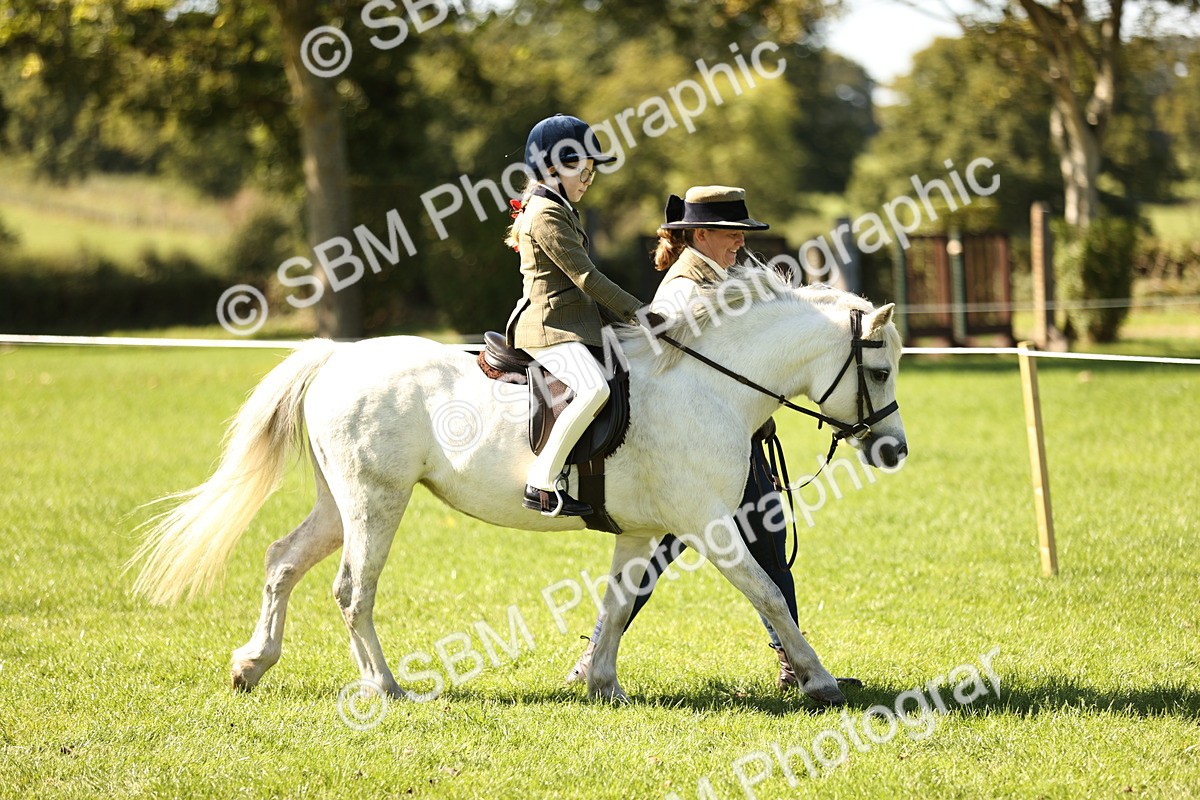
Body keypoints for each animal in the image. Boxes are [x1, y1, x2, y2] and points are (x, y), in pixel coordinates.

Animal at [129, 267, 907, 708]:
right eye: (879, 370)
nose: (894, 450)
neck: (707, 383)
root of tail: (336, 360)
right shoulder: (709, 524)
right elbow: (770, 595)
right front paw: (819, 680)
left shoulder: (643, 532)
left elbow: (617, 605)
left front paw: (602, 684)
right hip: (375, 501)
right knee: (352, 591)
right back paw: (385, 687)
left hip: (337, 504)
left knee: (282, 561)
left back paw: (251, 665)